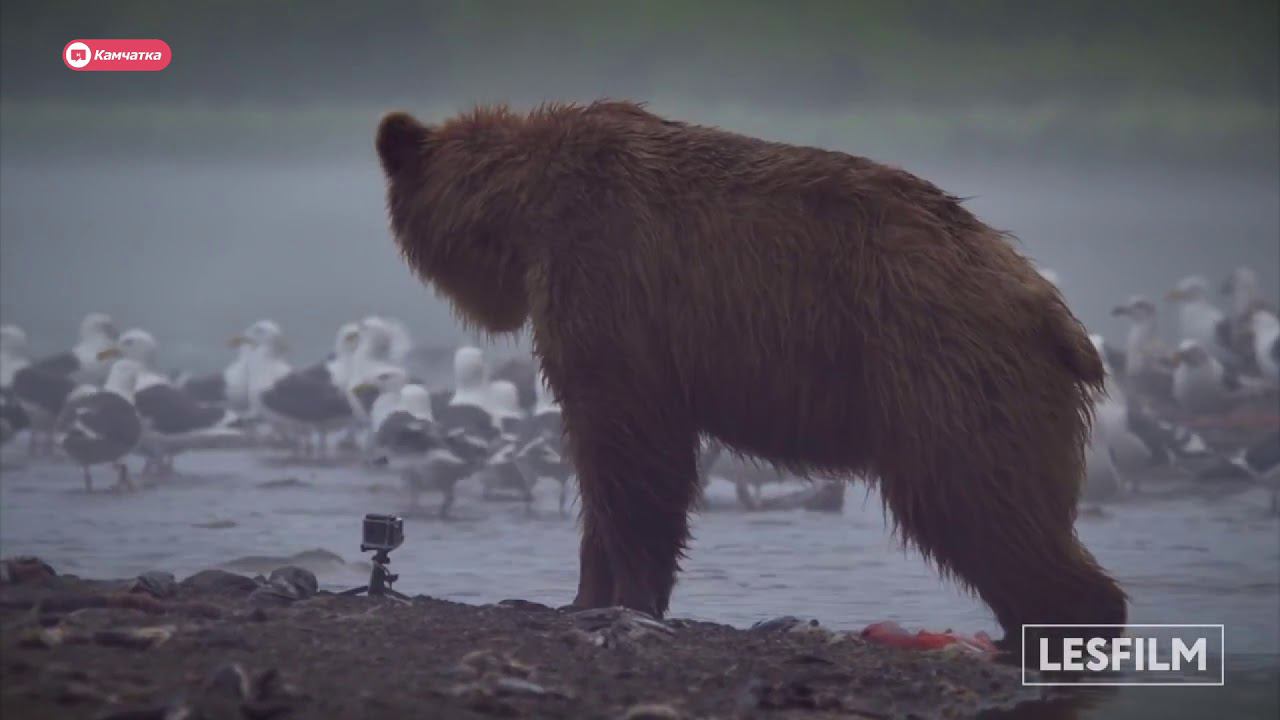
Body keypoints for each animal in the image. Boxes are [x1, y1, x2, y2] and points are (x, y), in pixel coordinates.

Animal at [373, 101, 1126, 645]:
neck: (526, 213)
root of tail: (1047, 303)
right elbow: (602, 459)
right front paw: (577, 597)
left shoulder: (612, 286)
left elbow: (633, 451)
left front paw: (629, 598)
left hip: (944, 370)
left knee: (976, 499)